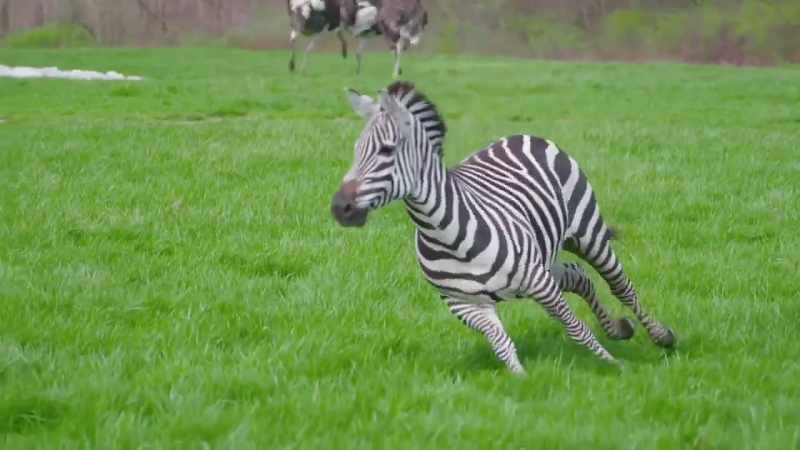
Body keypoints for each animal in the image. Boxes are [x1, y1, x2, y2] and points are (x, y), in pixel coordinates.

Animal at [330, 81, 676, 374]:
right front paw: (521, 381)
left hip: (586, 234)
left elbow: (576, 328)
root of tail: (523, 136)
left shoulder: (539, 282)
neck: (444, 233)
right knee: (579, 276)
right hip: (542, 261)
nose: (339, 208)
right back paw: (619, 329)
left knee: (621, 286)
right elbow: (502, 345)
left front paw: (614, 366)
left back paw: (661, 336)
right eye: (356, 149)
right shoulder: (465, 305)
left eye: (386, 150)